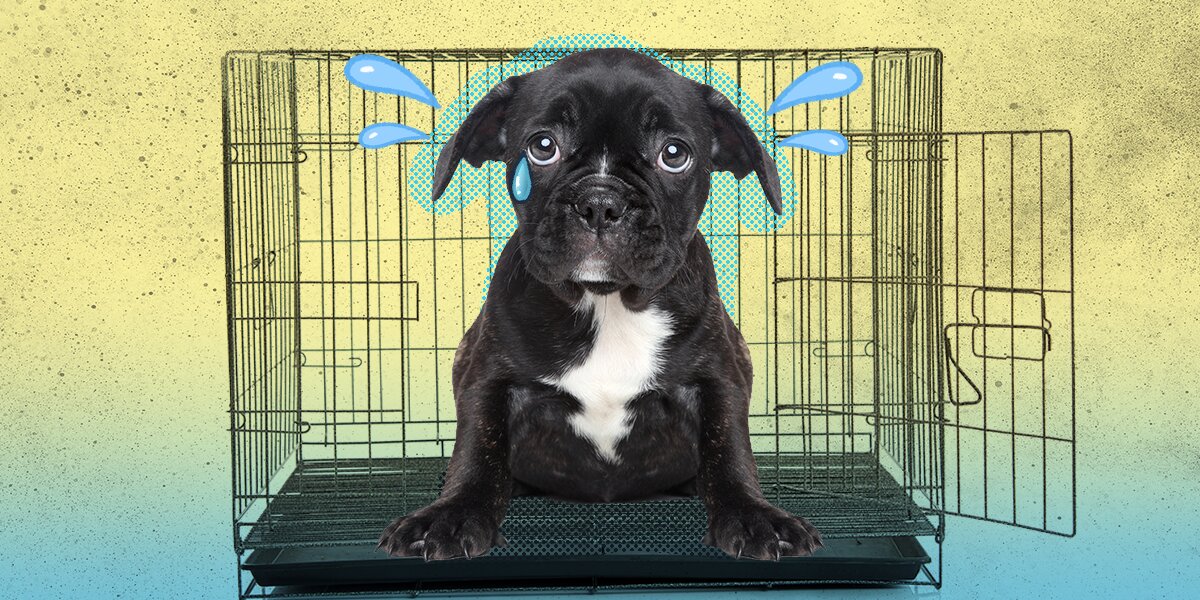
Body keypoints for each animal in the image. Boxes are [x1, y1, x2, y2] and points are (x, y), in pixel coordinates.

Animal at [379, 48, 820, 561]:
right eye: (542, 146)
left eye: (674, 154)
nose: (600, 202)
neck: (606, 303)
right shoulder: (487, 377)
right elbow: (476, 450)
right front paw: (451, 514)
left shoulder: (718, 377)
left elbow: (728, 449)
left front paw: (754, 515)